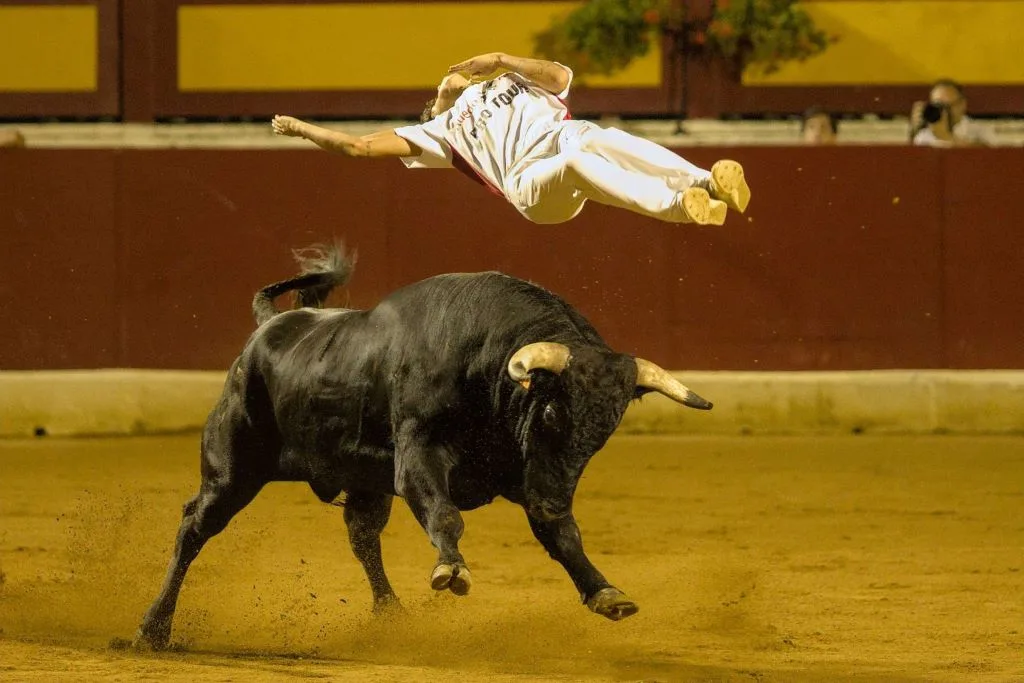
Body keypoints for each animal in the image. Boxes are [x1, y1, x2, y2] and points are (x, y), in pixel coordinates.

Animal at [134, 242, 712, 651]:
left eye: (605, 431)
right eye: (551, 412)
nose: (552, 499)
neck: (487, 370)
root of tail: (268, 328)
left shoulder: (528, 474)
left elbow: (563, 535)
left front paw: (606, 592)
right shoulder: (419, 456)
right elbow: (444, 513)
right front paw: (451, 570)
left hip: (364, 482)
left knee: (362, 537)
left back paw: (391, 615)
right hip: (232, 467)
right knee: (195, 527)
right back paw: (153, 628)